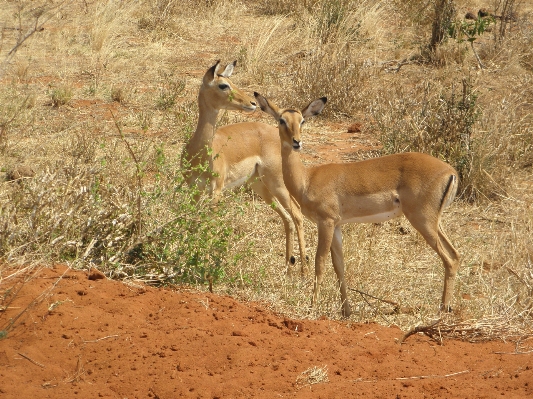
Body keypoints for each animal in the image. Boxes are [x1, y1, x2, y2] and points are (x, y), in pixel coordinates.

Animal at [181, 61, 308, 276]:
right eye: (224, 85)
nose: (252, 103)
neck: (201, 151)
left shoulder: (216, 190)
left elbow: (209, 223)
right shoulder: (193, 190)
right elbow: (193, 222)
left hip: (277, 183)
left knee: (297, 214)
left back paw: (303, 271)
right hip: (260, 185)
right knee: (287, 218)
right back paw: (288, 266)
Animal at [255, 92, 462, 318]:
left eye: (302, 121)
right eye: (282, 120)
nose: (296, 142)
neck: (307, 179)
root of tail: (451, 172)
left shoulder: (326, 222)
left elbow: (320, 263)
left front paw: (312, 307)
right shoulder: (336, 225)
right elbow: (339, 266)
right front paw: (346, 311)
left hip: (422, 220)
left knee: (449, 259)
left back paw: (442, 310)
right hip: (434, 222)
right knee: (456, 255)